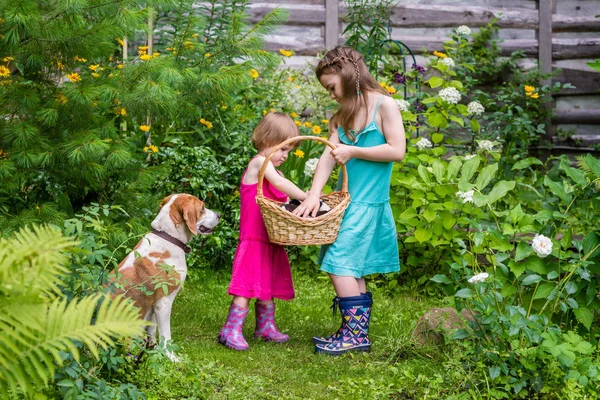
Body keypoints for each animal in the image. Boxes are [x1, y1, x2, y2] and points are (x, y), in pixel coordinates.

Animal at [110, 192, 220, 360]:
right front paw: (171, 357)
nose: (219, 215)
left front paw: (153, 350)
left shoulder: (154, 304)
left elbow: (151, 332)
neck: (168, 237)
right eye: (202, 208)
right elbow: (165, 335)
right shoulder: (164, 302)